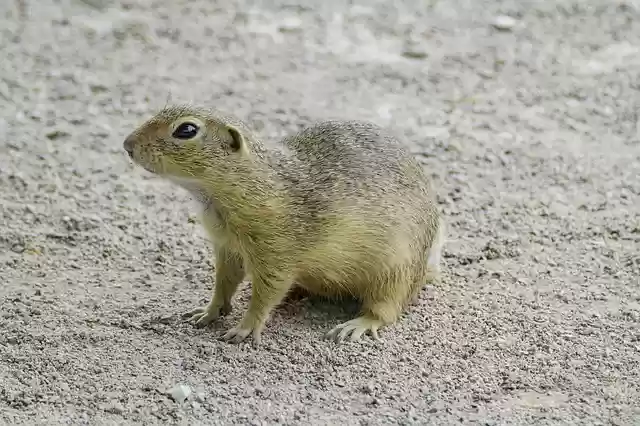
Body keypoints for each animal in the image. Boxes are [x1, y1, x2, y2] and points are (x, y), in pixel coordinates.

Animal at [123, 105, 445, 345]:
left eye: (186, 130)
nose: (127, 144)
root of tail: (422, 273)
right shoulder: (227, 248)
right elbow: (224, 282)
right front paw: (209, 310)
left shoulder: (277, 253)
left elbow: (266, 294)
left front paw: (245, 327)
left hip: (395, 273)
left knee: (387, 309)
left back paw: (358, 323)